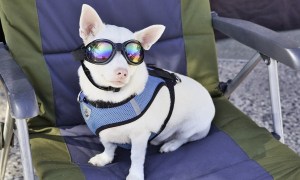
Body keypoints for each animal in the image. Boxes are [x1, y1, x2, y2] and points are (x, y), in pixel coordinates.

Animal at [76, 4, 214, 180]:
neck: (110, 97)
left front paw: (135, 174)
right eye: (103, 53)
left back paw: (170, 144)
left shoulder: (139, 137)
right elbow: (108, 146)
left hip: (190, 127)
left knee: (183, 139)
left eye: (133, 55)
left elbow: (136, 156)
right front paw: (105, 158)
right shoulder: (105, 133)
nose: (122, 72)